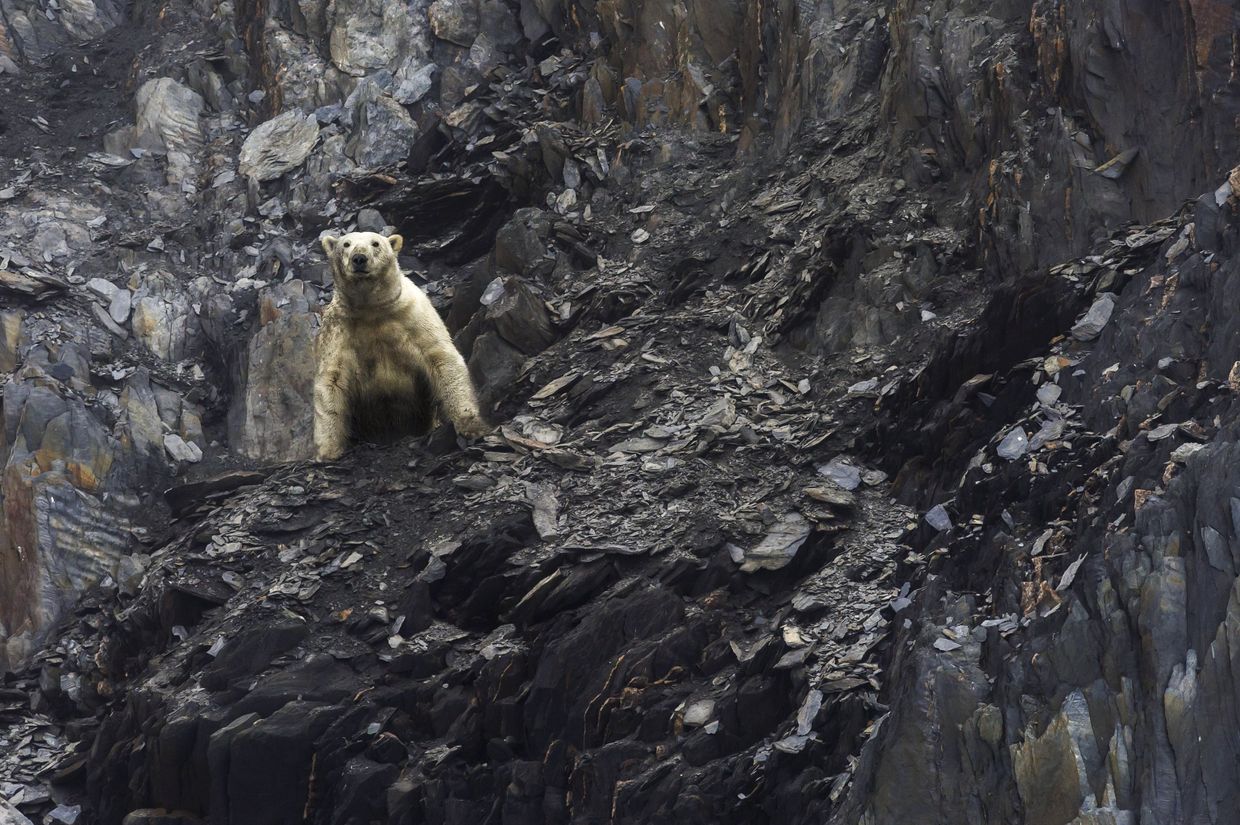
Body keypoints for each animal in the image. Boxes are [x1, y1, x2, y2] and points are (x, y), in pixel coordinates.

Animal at [313, 230, 489, 460]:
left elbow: (442, 357)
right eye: (346, 244)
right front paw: (329, 451)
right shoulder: (338, 330)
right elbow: (331, 379)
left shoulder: (414, 316)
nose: (359, 258)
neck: (371, 309)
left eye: (375, 243)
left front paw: (471, 425)